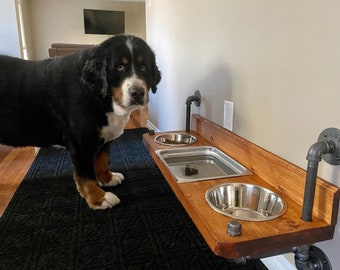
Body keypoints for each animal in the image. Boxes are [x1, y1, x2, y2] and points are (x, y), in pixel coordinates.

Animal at [0, 34, 161, 210]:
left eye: (143, 67)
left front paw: (107, 179)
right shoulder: (81, 144)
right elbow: (86, 176)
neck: (98, 94)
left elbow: (102, 162)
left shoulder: (102, 140)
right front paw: (99, 198)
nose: (137, 93)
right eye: (119, 66)